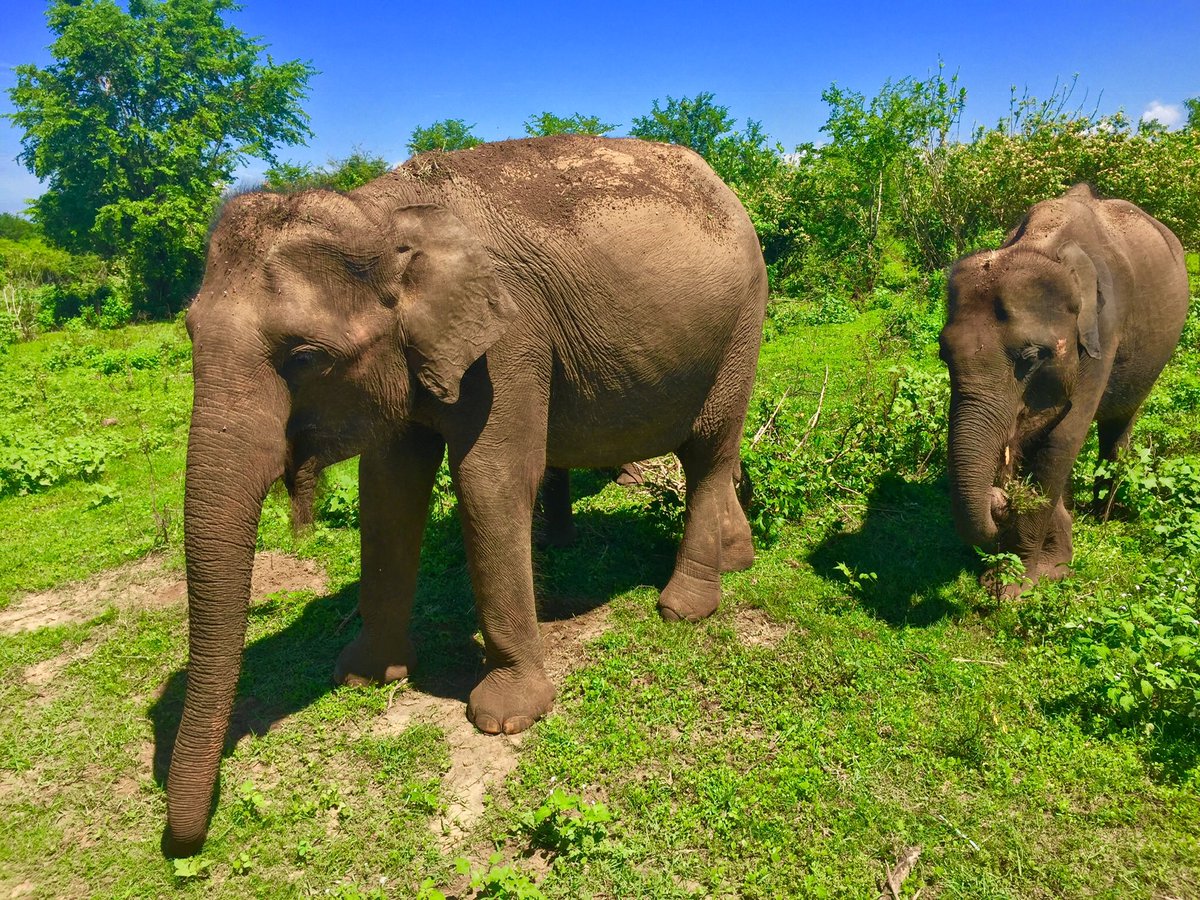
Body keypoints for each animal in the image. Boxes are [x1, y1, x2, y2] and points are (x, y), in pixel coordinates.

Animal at [167, 135, 768, 851]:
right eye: (188, 333)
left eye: (306, 358)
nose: (182, 844)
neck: (380, 212)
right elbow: (389, 487)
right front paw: (365, 674)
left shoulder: (511, 335)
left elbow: (490, 479)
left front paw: (505, 718)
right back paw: (737, 558)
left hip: (742, 323)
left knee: (708, 449)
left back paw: (685, 607)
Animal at [940, 183, 1189, 596]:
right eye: (943, 354)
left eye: (1031, 357)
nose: (998, 499)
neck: (1043, 246)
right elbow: (1035, 445)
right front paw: (1053, 562)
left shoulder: (1104, 332)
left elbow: (1060, 441)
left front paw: (1016, 587)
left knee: (1118, 425)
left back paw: (1101, 516)